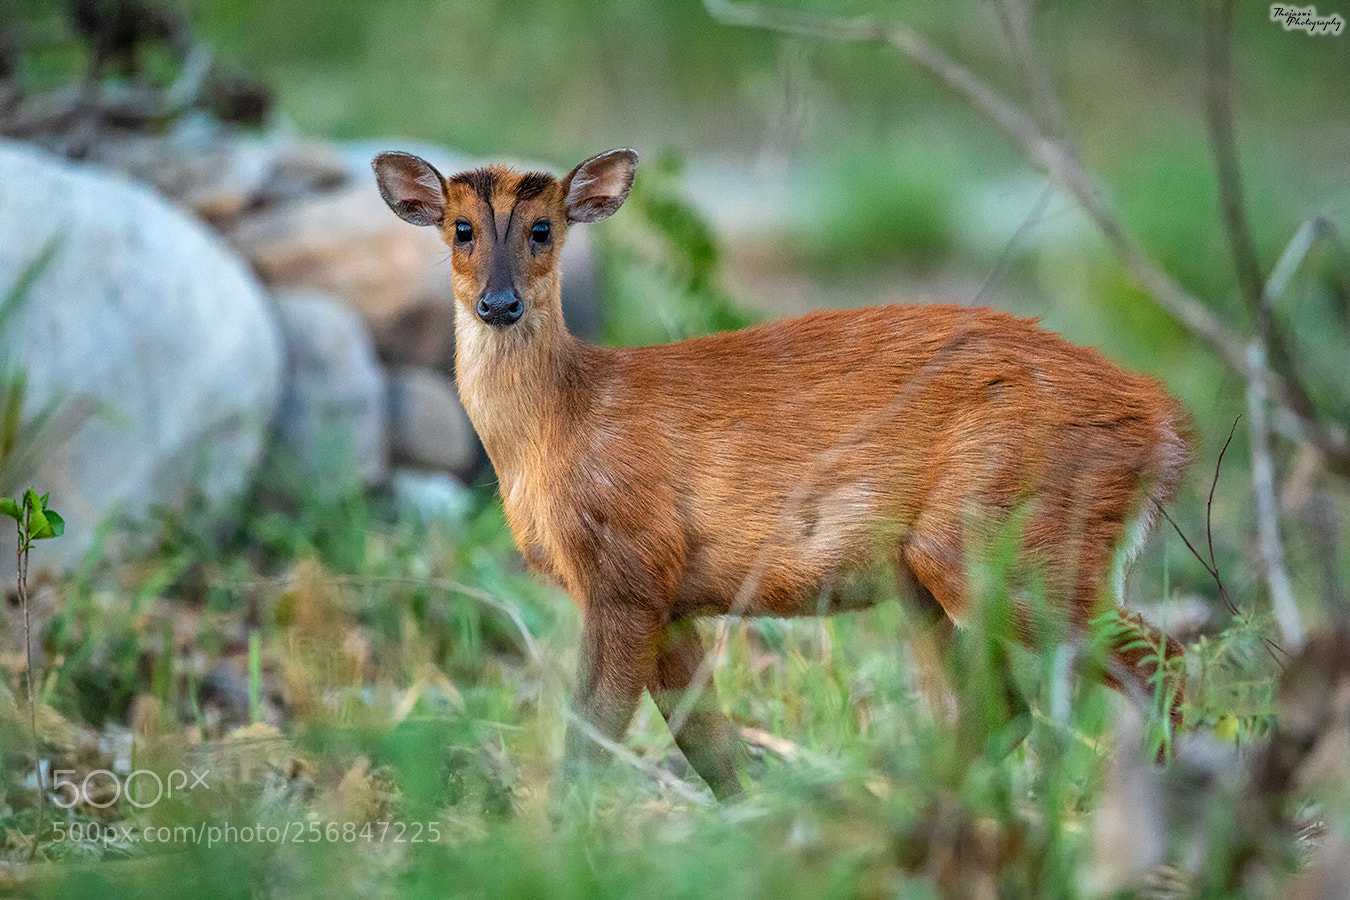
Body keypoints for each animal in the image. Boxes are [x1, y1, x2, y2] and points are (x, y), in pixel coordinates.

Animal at [372, 147, 1192, 800]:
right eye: (461, 229)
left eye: (542, 229)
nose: (499, 303)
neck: (560, 424)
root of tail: (1163, 422)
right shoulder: (670, 598)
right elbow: (710, 745)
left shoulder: (629, 567)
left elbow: (593, 736)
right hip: (928, 574)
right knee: (1004, 707)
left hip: (1004, 537)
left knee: (1162, 663)